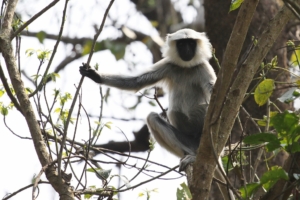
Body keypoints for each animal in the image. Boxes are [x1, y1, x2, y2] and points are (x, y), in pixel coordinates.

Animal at [80, 28, 234, 199]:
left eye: (191, 43)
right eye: (182, 44)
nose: (187, 50)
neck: (186, 67)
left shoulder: (202, 67)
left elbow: (216, 93)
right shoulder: (169, 65)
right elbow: (137, 81)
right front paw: (96, 76)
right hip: (189, 141)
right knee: (153, 118)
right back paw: (191, 156)